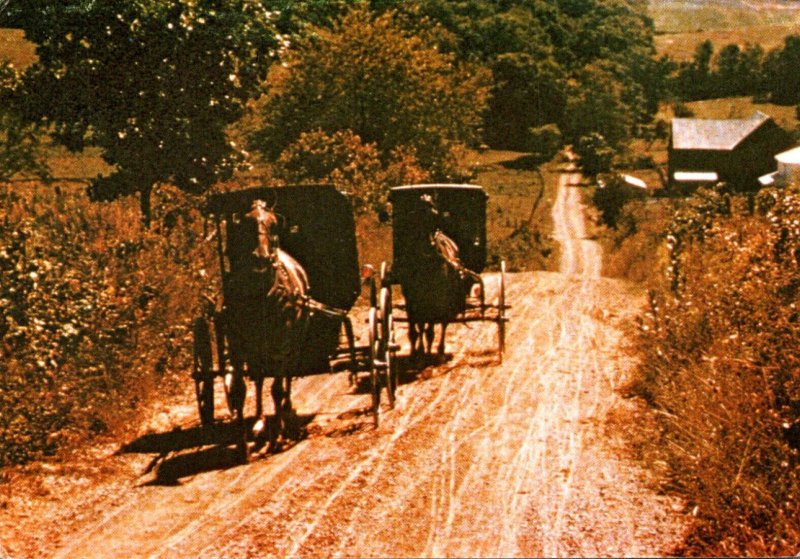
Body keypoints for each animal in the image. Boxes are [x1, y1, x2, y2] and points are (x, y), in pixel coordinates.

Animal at [225, 200, 312, 456]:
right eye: (246, 223)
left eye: (273, 224)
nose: (261, 258)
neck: (260, 296)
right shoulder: (238, 348)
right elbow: (239, 389)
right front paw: (243, 441)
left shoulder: (282, 347)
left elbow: (277, 389)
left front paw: (278, 434)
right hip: (258, 352)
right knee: (259, 377)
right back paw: (259, 421)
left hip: (292, 346)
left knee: (285, 378)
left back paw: (285, 412)